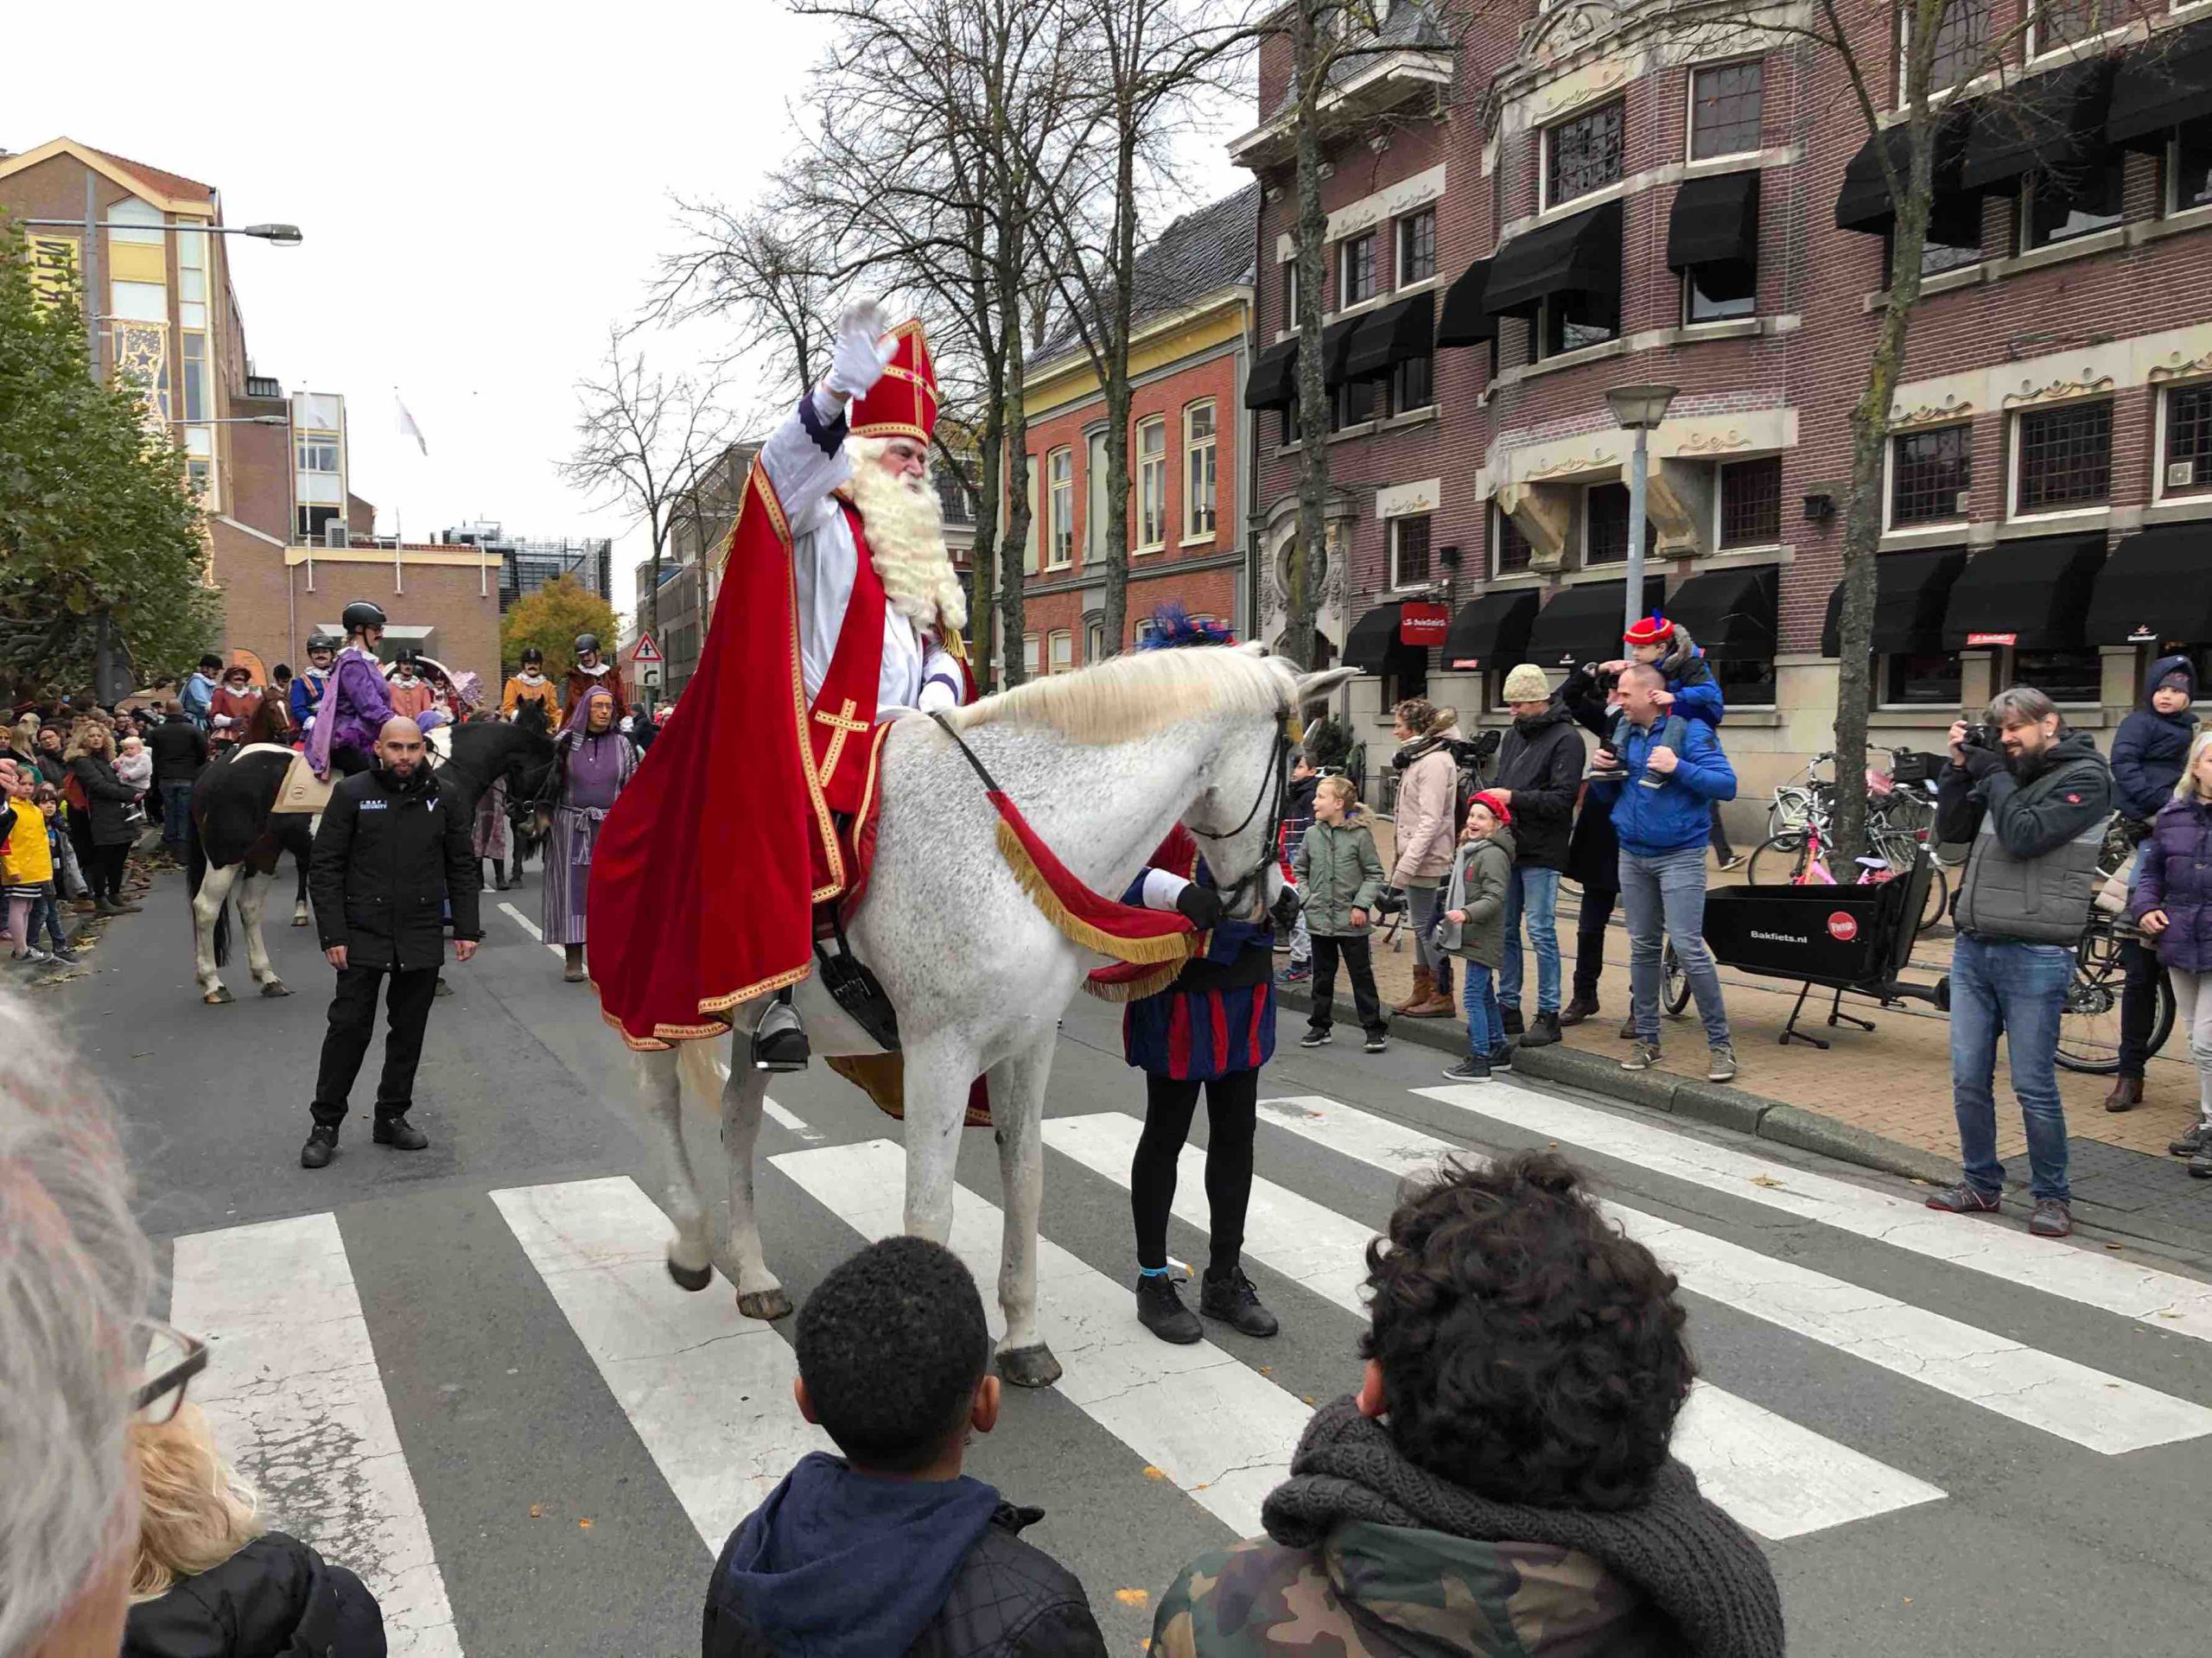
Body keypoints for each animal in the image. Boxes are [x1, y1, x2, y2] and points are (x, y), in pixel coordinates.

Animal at [184, 707, 557, 1007]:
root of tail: (216, 767)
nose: (534, 825)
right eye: (552, 774)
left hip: (263, 854)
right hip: (226, 856)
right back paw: (213, 983)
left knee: (249, 909)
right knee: (205, 909)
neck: (442, 774)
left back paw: (267, 978)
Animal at [632, 645, 1353, 1388]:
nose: (1283, 902)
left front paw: (1024, 1337)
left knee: (740, 1123)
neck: (1012, 831)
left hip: (750, 1026)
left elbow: (1025, 1181)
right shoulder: (938, 1054)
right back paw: (693, 1245)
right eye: (1292, 763)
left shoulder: (1024, 1045)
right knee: (660, 1103)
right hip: (656, 1008)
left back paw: (752, 1276)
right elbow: (929, 1209)